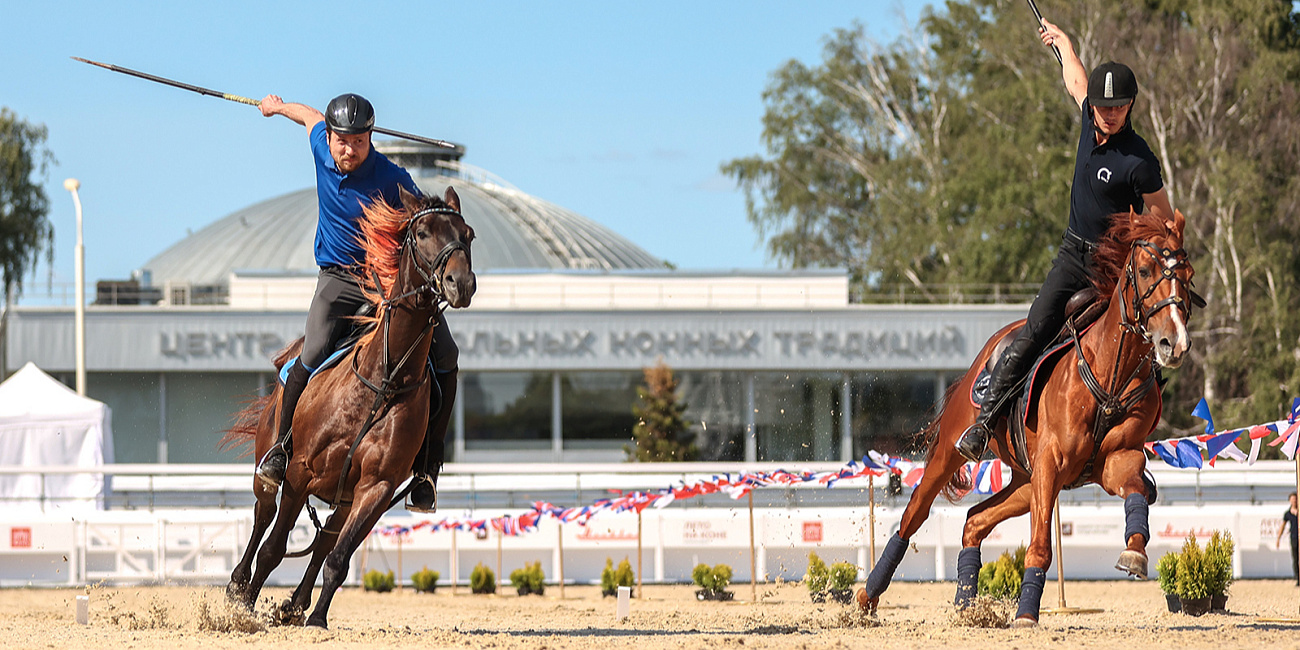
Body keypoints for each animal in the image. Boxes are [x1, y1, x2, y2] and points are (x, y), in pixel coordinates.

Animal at [223, 185, 478, 626]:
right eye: (423, 232)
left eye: (469, 235)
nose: (460, 283)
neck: (384, 380)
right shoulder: (299, 473)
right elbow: (273, 548)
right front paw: (248, 608)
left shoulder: (376, 487)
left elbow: (339, 558)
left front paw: (316, 619)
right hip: (272, 467)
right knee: (262, 516)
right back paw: (239, 586)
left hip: (343, 495)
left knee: (326, 539)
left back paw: (296, 605)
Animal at [857, 210, 1190, 626]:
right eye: (1145, 271)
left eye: (1188, 274)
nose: (1174, 343)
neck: (1108, 375)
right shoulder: (1051, 463)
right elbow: (1041, 546)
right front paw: (1027, 612)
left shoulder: (1116, 459)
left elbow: (1136, 493)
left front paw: (1134, 553)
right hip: (954, 452)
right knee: (914, 513)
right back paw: (868, 596)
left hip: (1024, 480)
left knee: (975, 520)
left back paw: (966, 607)